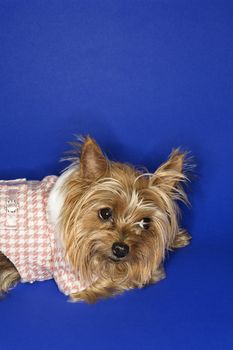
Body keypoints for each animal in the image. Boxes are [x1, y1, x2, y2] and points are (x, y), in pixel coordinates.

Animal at [0, 135, 191, 302]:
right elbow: (122, 277)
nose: (120, 249)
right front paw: (152, 272)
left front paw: (176, 238)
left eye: (145, 223)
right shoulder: (74, 276)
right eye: (105, 213)